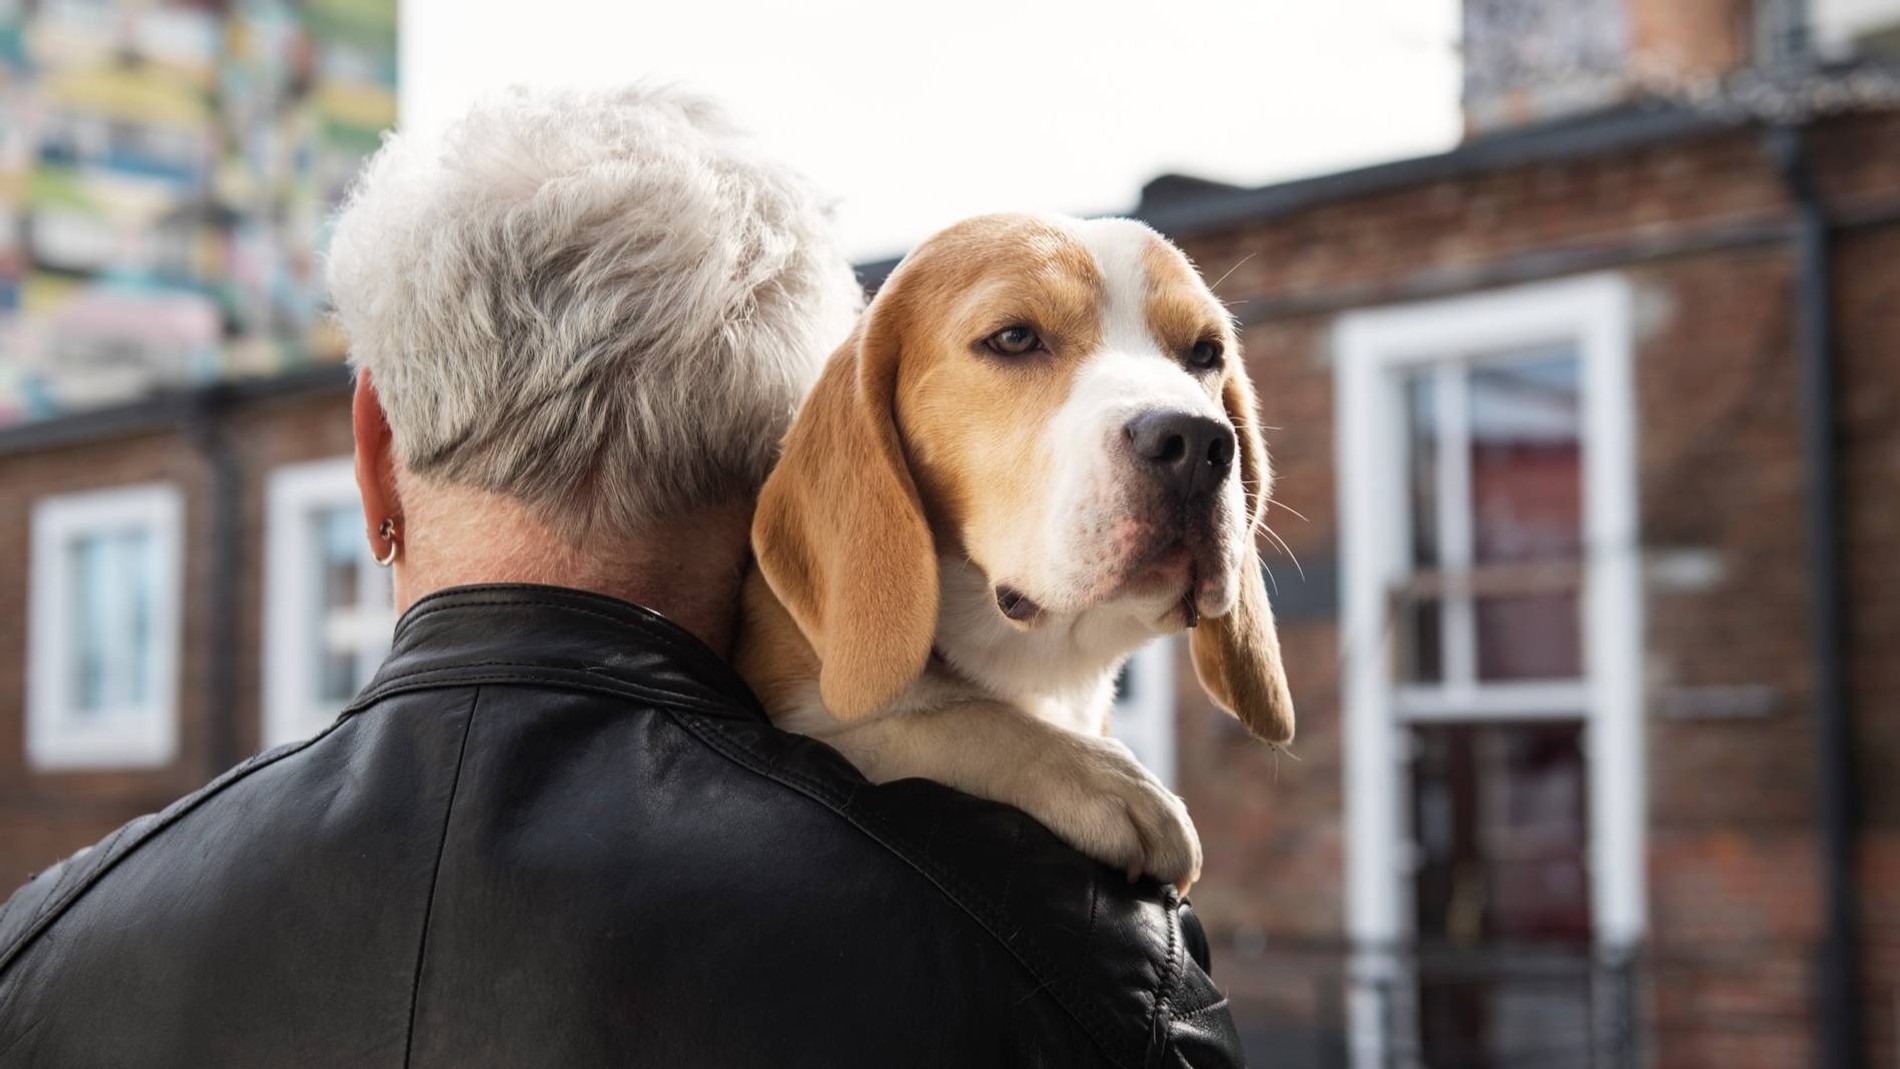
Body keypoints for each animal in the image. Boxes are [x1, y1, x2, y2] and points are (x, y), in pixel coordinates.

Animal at [733, 211, 1299, 888]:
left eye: (1206, 352)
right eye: (1014, 338)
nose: (1195, 443)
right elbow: (944, 721)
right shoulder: (809, 716)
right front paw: (1099, 775)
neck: (1040, 657)